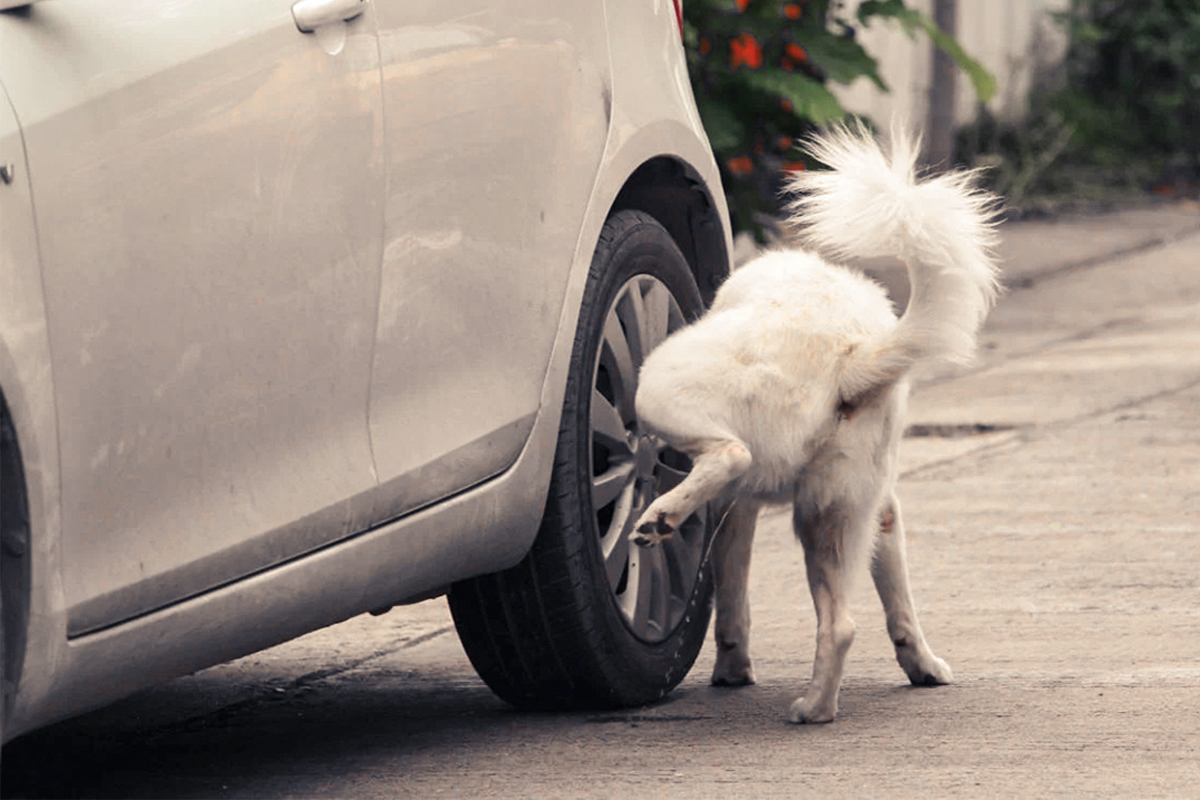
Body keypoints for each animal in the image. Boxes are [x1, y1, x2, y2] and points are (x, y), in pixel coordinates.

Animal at [633, 123, 998, 724]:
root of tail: (851, 354)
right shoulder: (877, 515)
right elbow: (894, 604)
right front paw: (922, 665)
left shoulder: (735, 509)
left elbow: (730, 592)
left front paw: (731, 668)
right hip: (835, 515)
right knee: (843, 624)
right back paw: (818, 708)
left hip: (660, 386)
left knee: (729, 455)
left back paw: (661, 516)